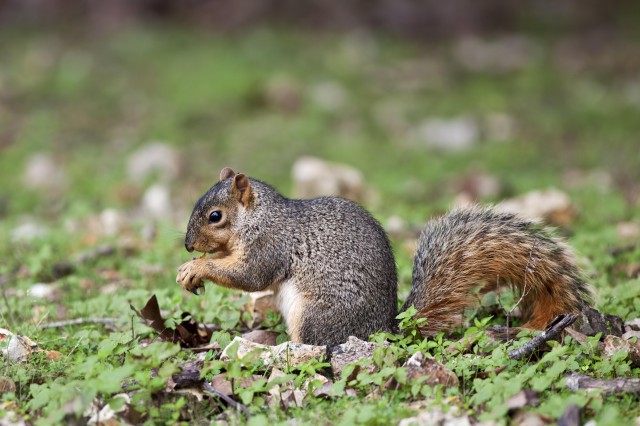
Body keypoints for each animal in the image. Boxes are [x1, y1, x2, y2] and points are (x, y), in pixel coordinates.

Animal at [176, 166, 596, 346]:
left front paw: (195, 268)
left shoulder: (270, 244)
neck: (259, 218)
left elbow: (251, 276)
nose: (187, 245)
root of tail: (384, 329)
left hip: (316, 315)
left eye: (215, 216)